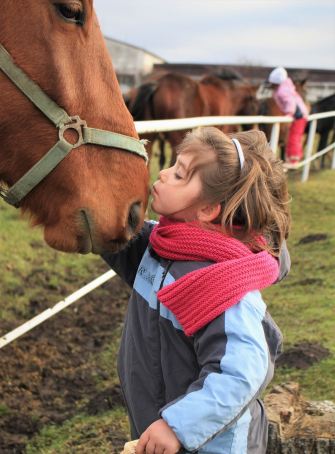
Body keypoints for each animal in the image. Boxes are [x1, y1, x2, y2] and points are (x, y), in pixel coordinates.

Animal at [126, 70, 260, 169]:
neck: (228, 94)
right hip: (177, 139)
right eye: (255, 106)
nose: (255, 127)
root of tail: (158, 82)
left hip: (150, 138)